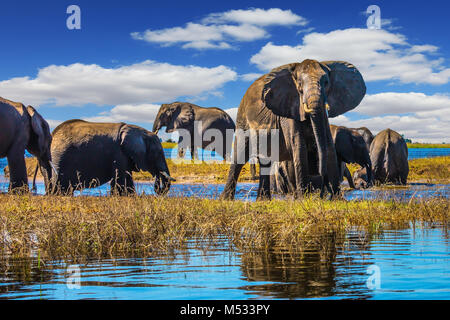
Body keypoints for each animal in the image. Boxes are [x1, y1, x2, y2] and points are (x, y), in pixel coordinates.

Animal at [221, 59, 366, 200]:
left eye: (326, 83)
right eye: (300, 84)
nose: (323, 192)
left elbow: (329, 145)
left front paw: (338, 200)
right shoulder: (288, 108)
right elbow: (298, 144)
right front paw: (303, 199)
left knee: (266, 161)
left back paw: (263, 200)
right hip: (242, 119)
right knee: (239, 156)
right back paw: (226, 199)